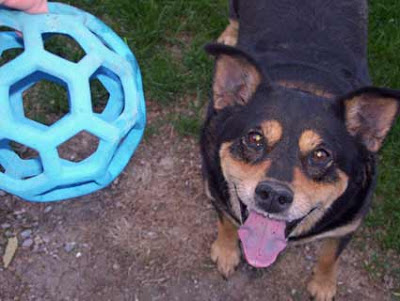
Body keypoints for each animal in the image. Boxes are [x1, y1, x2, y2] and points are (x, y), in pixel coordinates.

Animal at [202, 1, 400, 298]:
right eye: (254, 138)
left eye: (321, 155)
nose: (273, 196)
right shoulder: (214, 190)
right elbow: (226, 221)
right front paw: (226, 252)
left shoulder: (348, 225)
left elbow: (330, 256)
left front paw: (323, 285)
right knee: (233, 16)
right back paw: (229, 36)